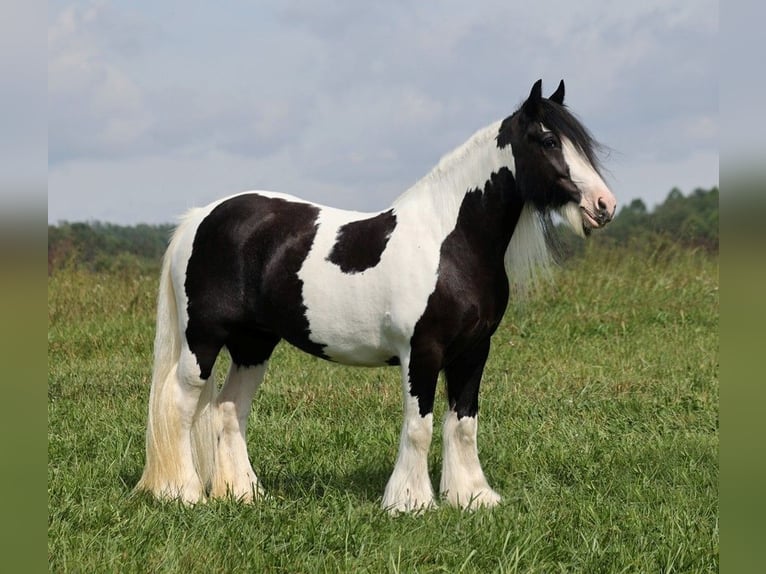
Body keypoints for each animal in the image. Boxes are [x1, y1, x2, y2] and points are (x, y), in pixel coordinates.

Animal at [136, 80, 616, 512]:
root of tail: (201, 217)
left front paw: (472, 499)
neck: (450, 242)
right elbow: (419, 427)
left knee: (229, 409)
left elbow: (463, 425)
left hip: (254, 344)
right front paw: (410, 502)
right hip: (203, 340)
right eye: (550, 140)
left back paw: (244, 494)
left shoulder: (474, 351)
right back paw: (183, 494)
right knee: (180, 404)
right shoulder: (421, 352)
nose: (604, 205)